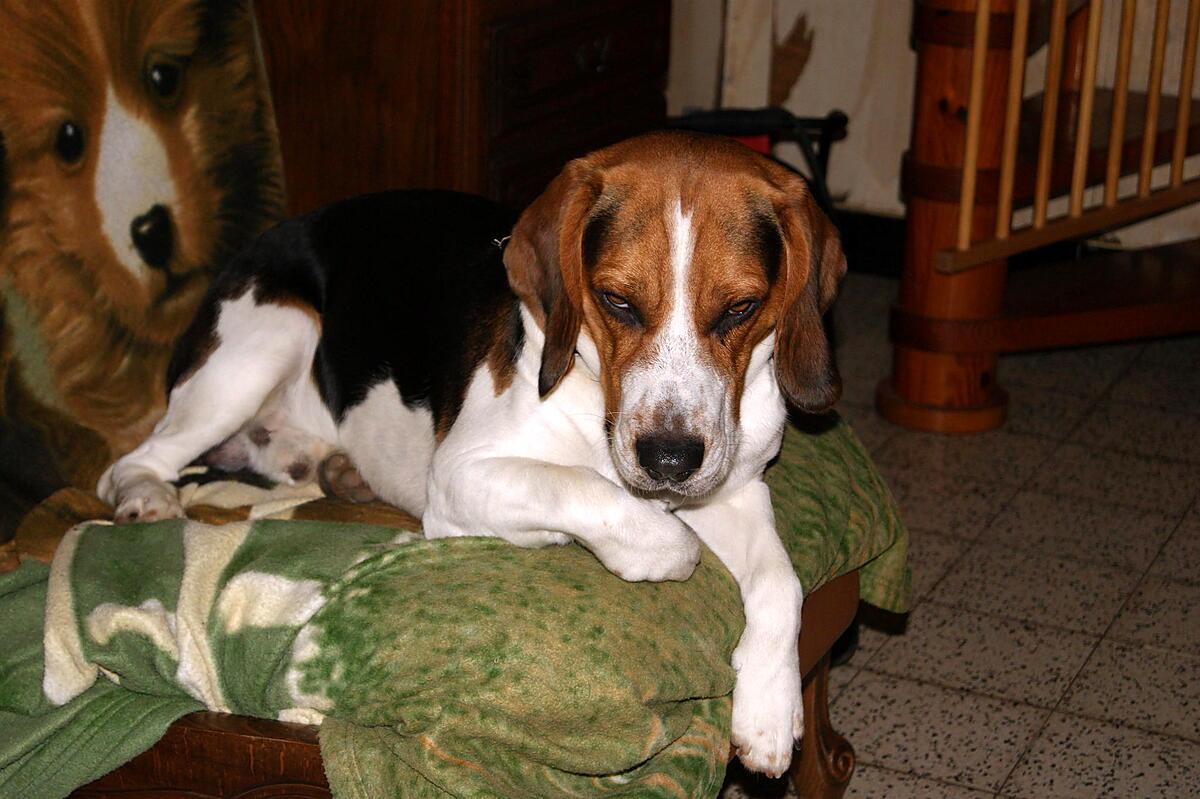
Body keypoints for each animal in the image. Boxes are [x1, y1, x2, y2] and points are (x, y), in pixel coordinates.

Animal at [103, 130, 849, 772]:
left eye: (740, 308)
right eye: (617, 301)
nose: (669, 460)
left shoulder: (737, 486)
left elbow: (781, 581)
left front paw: (769, 712)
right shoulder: (462, 477)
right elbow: (596, 495)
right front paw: (660, 547)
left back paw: (337, 470)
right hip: (268, 336)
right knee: (133, 461)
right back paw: (145, 498)